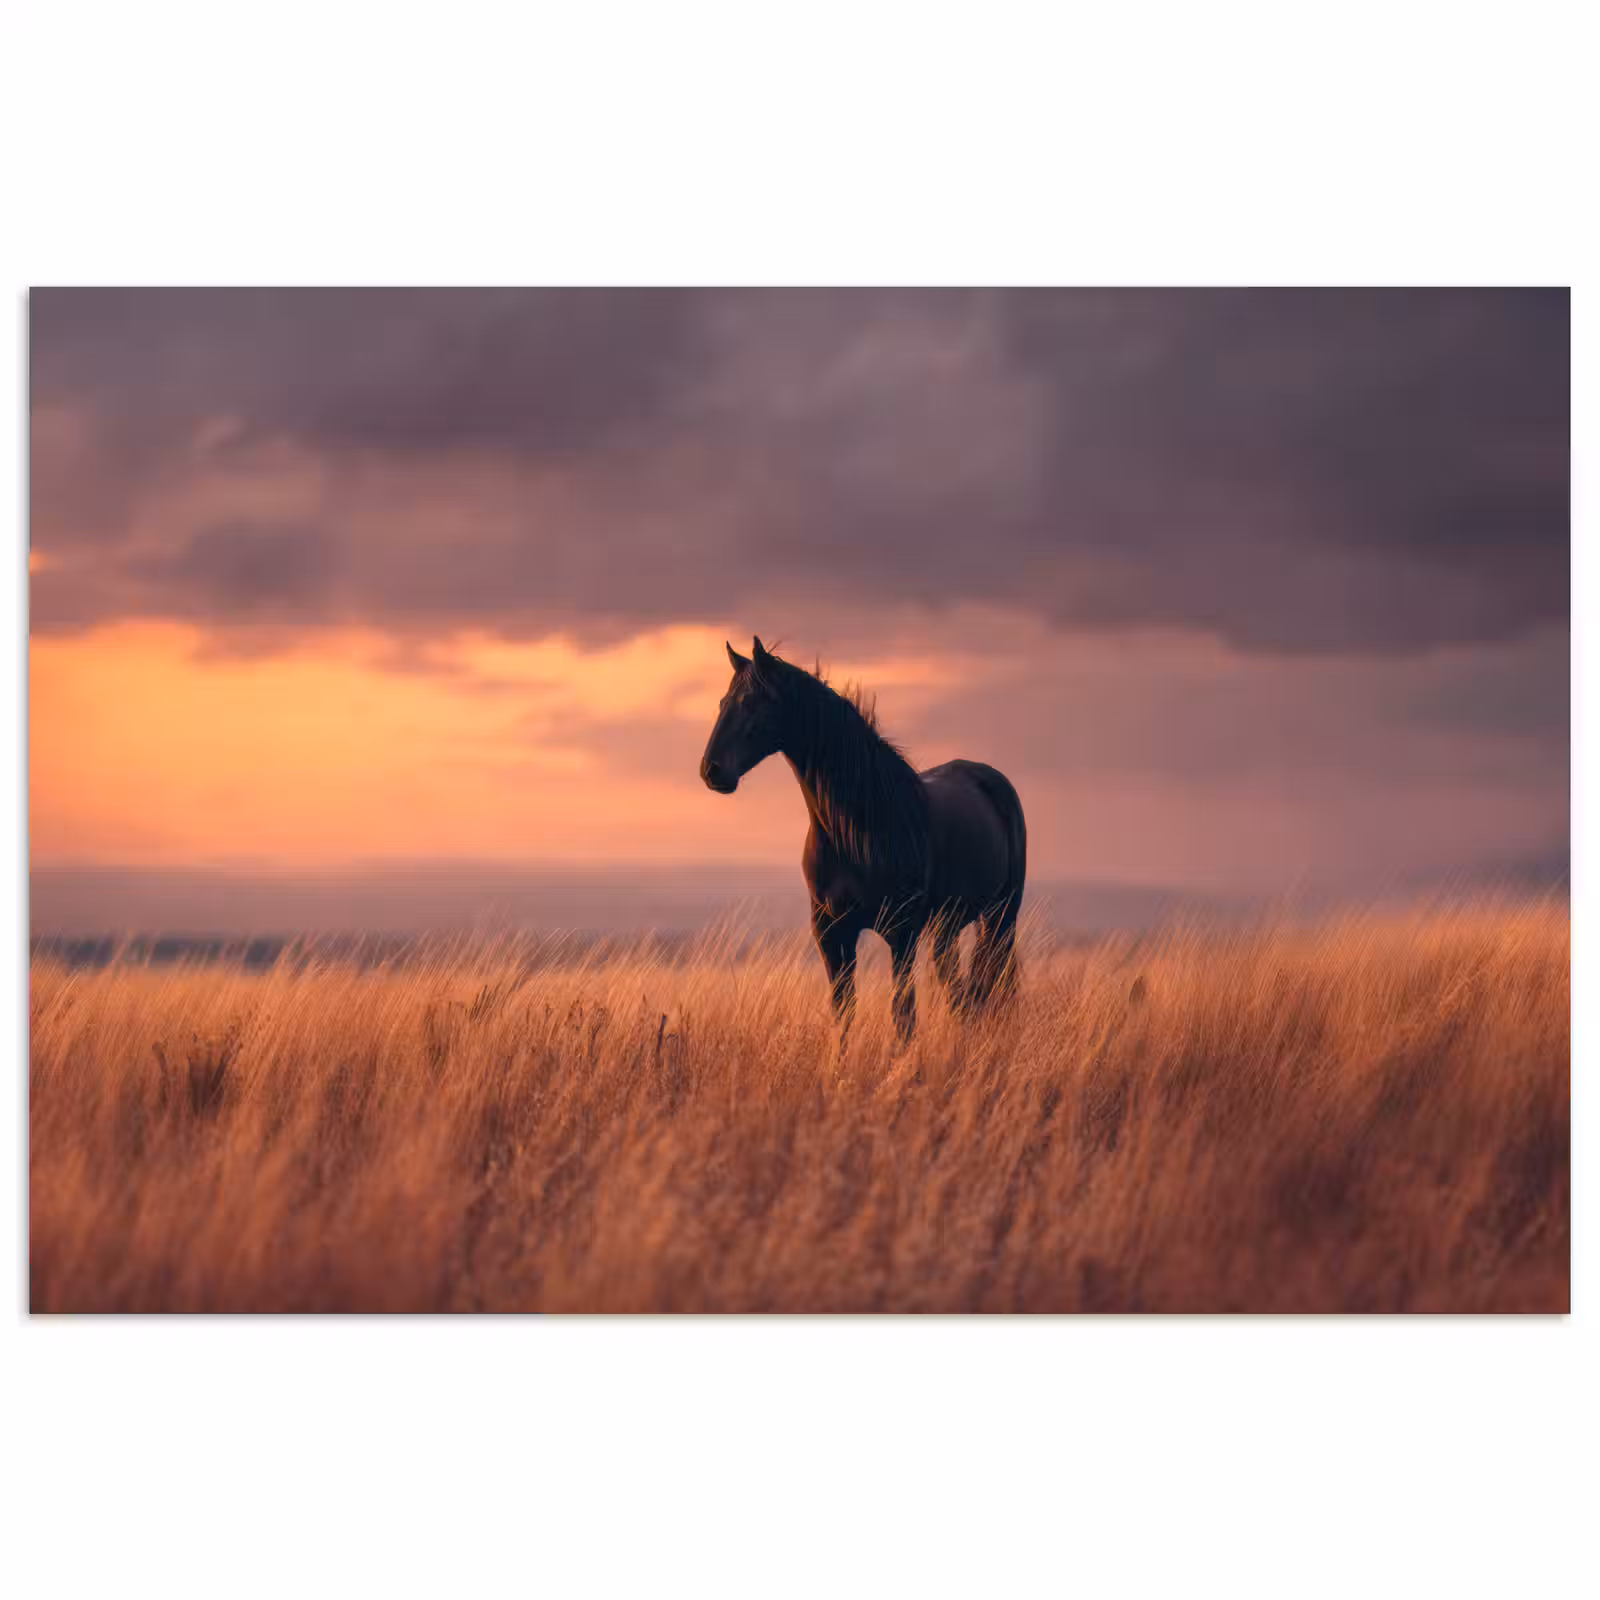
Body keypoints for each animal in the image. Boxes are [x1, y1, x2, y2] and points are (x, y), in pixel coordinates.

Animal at [700, 636, 1027, 1048]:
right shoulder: (831, 932)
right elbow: (843, 1013)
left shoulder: (901, 933)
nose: (711, 771)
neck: (860, 828)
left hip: (1001, 916)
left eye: (749, 702)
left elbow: (903, 1014)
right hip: (947, 926)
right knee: (960, 993)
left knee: (989, 984)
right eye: (722, 703)